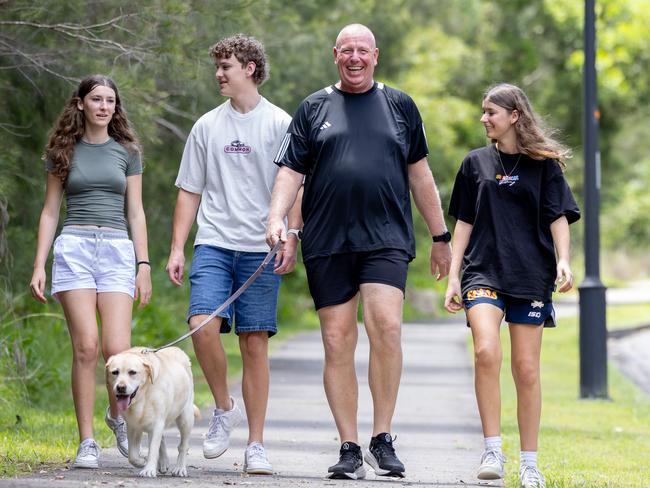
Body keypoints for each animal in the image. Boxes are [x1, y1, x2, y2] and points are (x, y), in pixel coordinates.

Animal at [104, 346, 194, 476]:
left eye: (132, 372)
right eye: (115, 372)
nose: (120, 387)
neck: (143, 394)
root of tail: (177, 349)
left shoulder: (157, 423)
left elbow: (153, 449)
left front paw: (149, 469)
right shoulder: (133, 426)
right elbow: (132, 455)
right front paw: (141, 462)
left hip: (185, 418)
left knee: (183, 445)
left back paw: (180, 468)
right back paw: (164, 462)